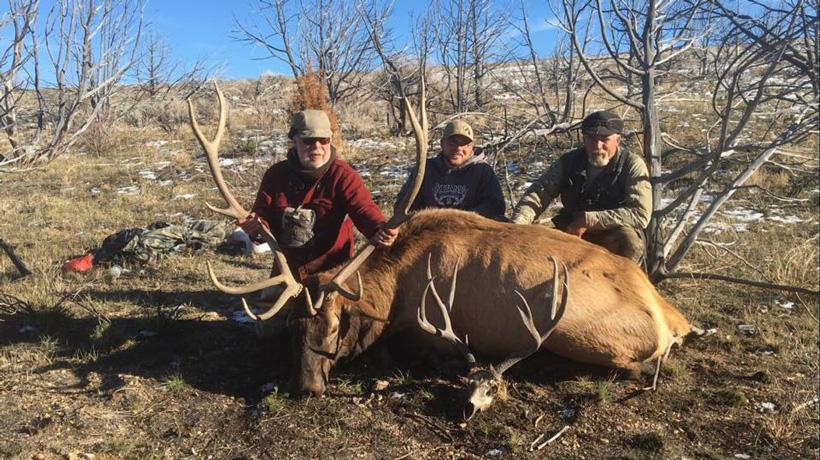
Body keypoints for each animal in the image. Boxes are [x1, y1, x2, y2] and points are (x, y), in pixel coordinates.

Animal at [187, 83, 693, 403]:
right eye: (294, 328)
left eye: (333, 328)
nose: (305, 389)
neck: (391, 291)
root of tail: (672, 316)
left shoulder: (429, 329)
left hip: (575, 326)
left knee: (638, 363)